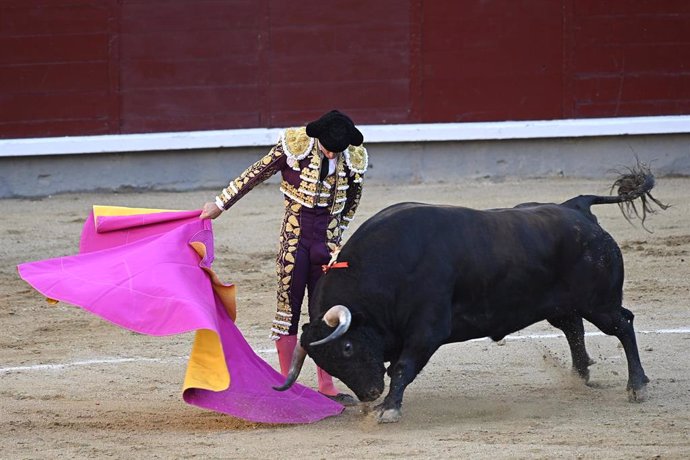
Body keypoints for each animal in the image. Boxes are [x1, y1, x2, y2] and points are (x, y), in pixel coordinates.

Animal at [276, 164, 668, 420]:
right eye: (325, 361)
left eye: (346, 347)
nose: (370, 394)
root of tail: (577, 208)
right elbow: (399, 366)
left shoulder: (427, 329)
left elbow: (402, 367)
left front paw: (389, 409)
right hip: (562, 306)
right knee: (574, 328)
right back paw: (580, 376)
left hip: (599, 302)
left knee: (622, 325)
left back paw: (637, 386)